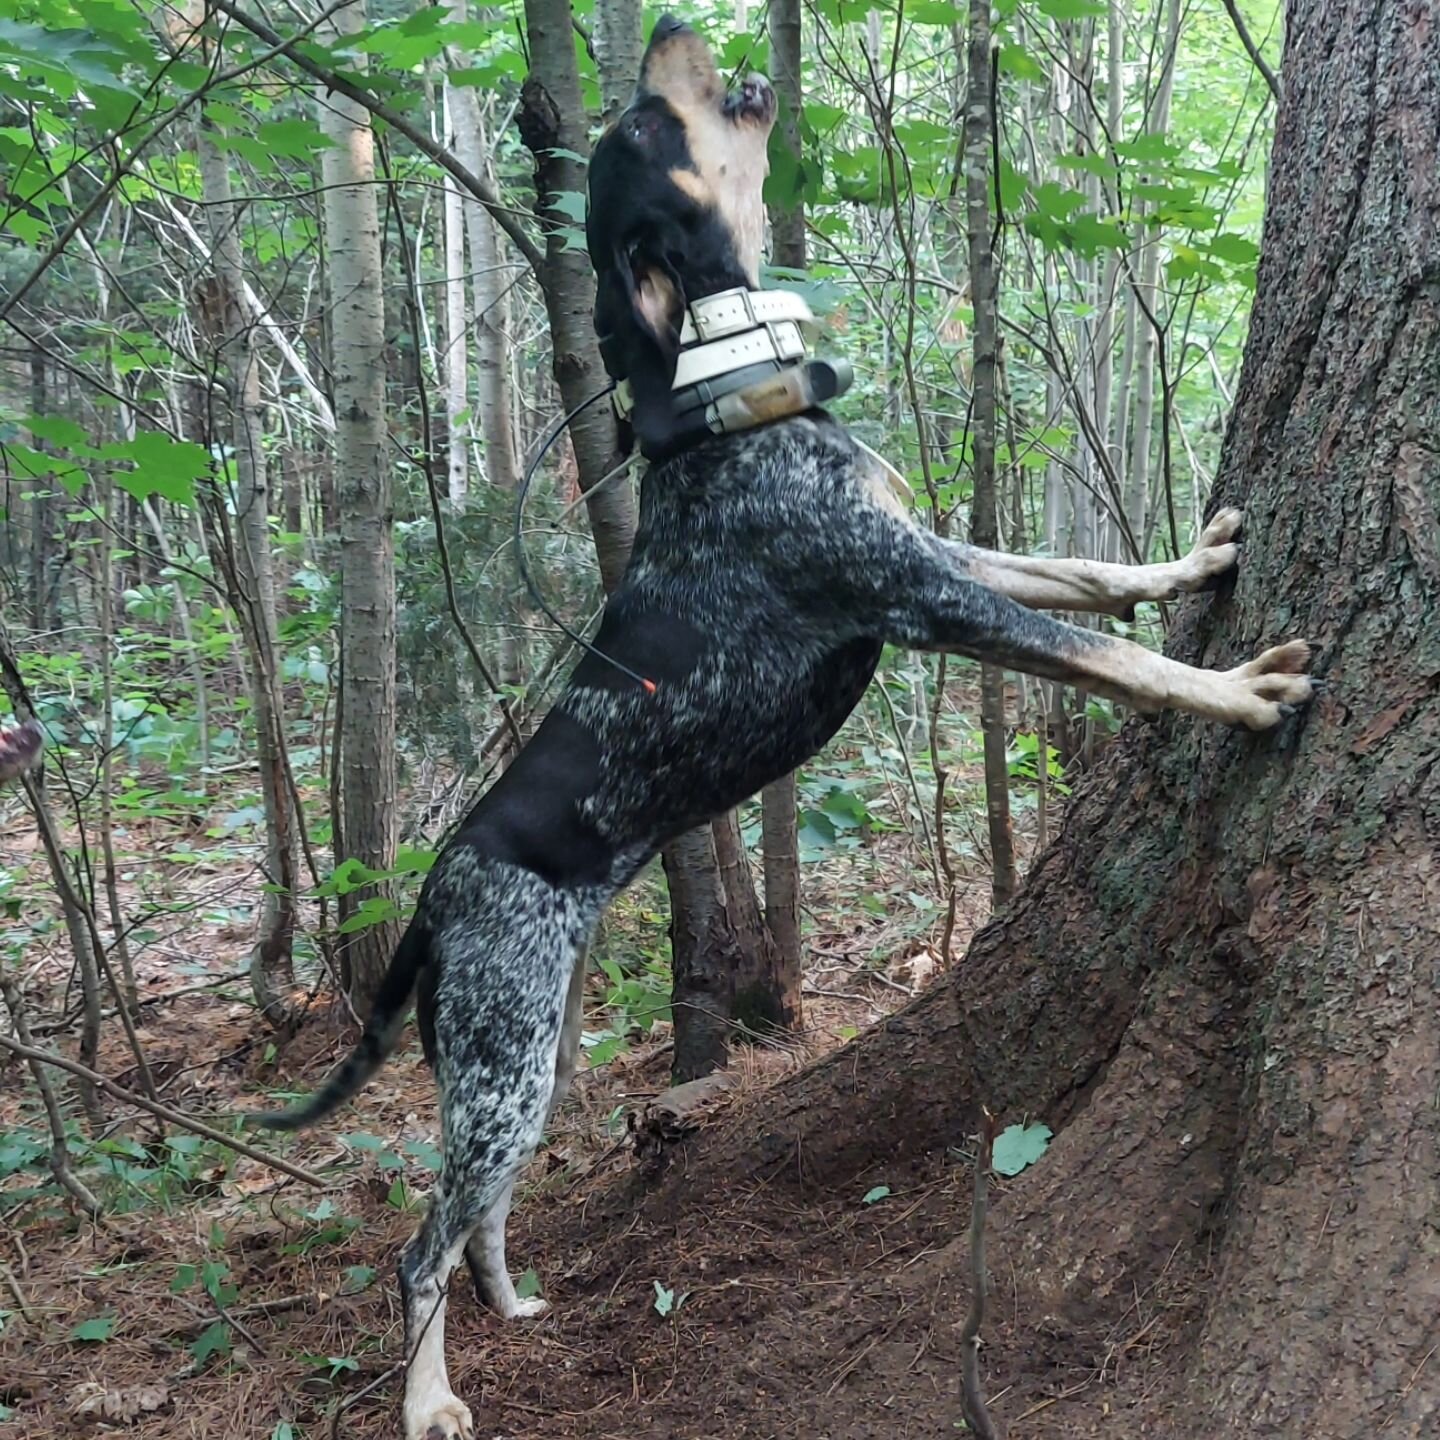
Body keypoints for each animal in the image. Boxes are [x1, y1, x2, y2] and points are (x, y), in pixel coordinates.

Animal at [250, 16, 1319, 1434]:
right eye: (647, 127)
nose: (665, 29)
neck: (729, 393)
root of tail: (436, 892)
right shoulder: (920, 596)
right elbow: (1115, 660)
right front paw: (1245, 688)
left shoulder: (928, 554)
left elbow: (1088, 580)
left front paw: (1194, 563)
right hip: (499, 1064)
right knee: (416, 1248)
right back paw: (429, 1401)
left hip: (525, 1065)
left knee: (478, 1220)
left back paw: (515, 1304)